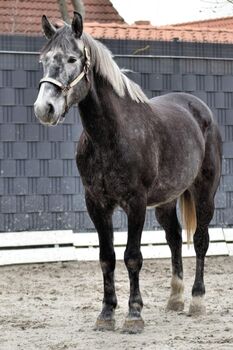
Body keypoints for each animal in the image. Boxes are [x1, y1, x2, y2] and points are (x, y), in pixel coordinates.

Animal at [34, 11, 222, 334]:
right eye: (44, 59)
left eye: (72, 59)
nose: (44, 109)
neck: (111, 135)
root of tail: (199, 108)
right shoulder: (97, 204)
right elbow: (106, 258)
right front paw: (106, 313)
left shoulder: (135, 203)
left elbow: (132, 257)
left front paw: (134, 315)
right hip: (165, 201)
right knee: (174, 239)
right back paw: (175, 298)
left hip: (204, 192)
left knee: (200, 240)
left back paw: (197, 300)